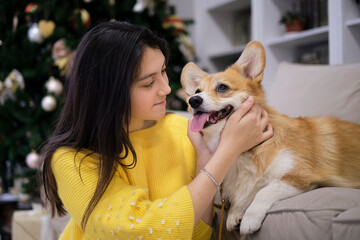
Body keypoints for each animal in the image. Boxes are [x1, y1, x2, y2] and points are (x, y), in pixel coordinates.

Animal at [181, 40, 360, 234]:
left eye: (222, 87)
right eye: (197, 91)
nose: (193, 101)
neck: (245, 152)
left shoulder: (299, 176)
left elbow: (264, 191)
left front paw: (249, 219)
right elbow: (248, 191)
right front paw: (235, 214)